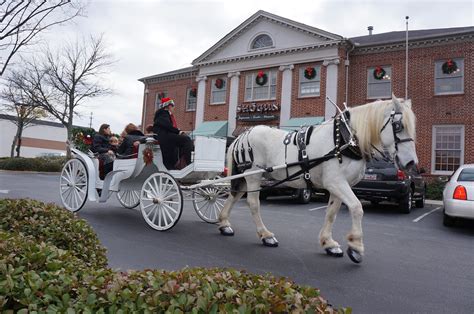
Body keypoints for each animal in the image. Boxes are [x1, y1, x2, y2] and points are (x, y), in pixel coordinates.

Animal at [217, 95, 416, 262]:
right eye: (398, 126)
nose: (411, 163)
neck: (344, 140)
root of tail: (243, 135)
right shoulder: (336, 182)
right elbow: (356, 207)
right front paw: (356, 246)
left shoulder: (338, 185)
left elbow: (331, 213)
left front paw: (329, 243)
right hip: (253, 175)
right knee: (253, 203)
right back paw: (266, 235)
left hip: (244, 177)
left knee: (234, 195)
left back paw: (224, 224)